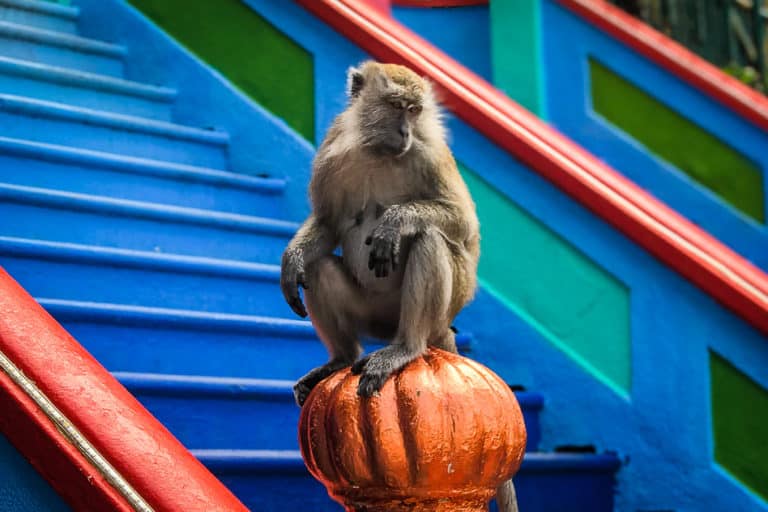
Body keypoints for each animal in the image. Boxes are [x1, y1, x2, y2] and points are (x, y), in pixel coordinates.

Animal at [280, 61, 518, 512]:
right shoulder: (333, 148)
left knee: (429, 239)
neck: (377, 151)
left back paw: (406, 348)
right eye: (395, 106)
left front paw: (396, 220)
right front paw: (292, 258)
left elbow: (463, 225)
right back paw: (340, 359)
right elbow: (328, 223)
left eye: (414, 109)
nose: (406, 132)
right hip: (373, 316)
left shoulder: (429, 153)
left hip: (436, 310)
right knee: (321, 268)